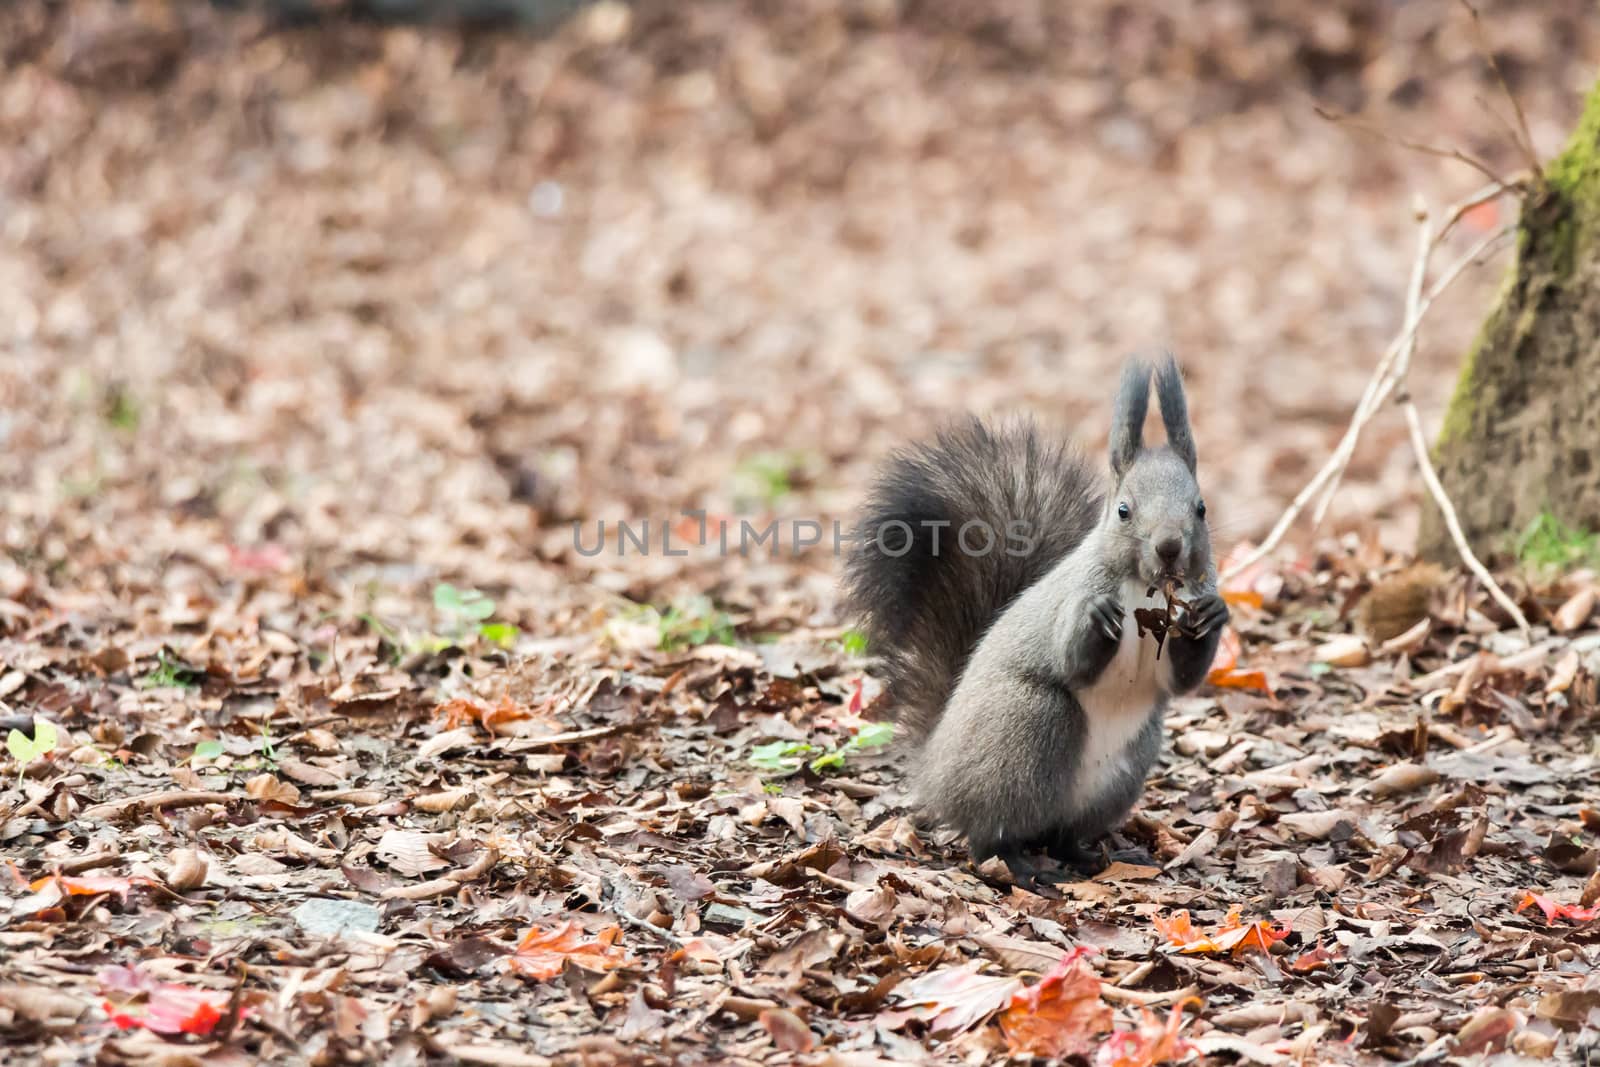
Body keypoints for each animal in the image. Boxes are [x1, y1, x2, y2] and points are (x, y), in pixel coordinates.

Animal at [838, 351, 1222, 883]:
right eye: (1123, 510)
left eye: (1201, 508)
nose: (1168, 547)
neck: (1140, 590)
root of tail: (934, 770)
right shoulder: (1073, 597)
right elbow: (1072, 660)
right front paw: (1095, 616)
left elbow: (1183, 680)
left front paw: (1213, 614)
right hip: (1028, 725)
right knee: (988, 835)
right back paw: (1020, 866)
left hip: (1122, 770)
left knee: (1061, 834)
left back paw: (1089, 855)